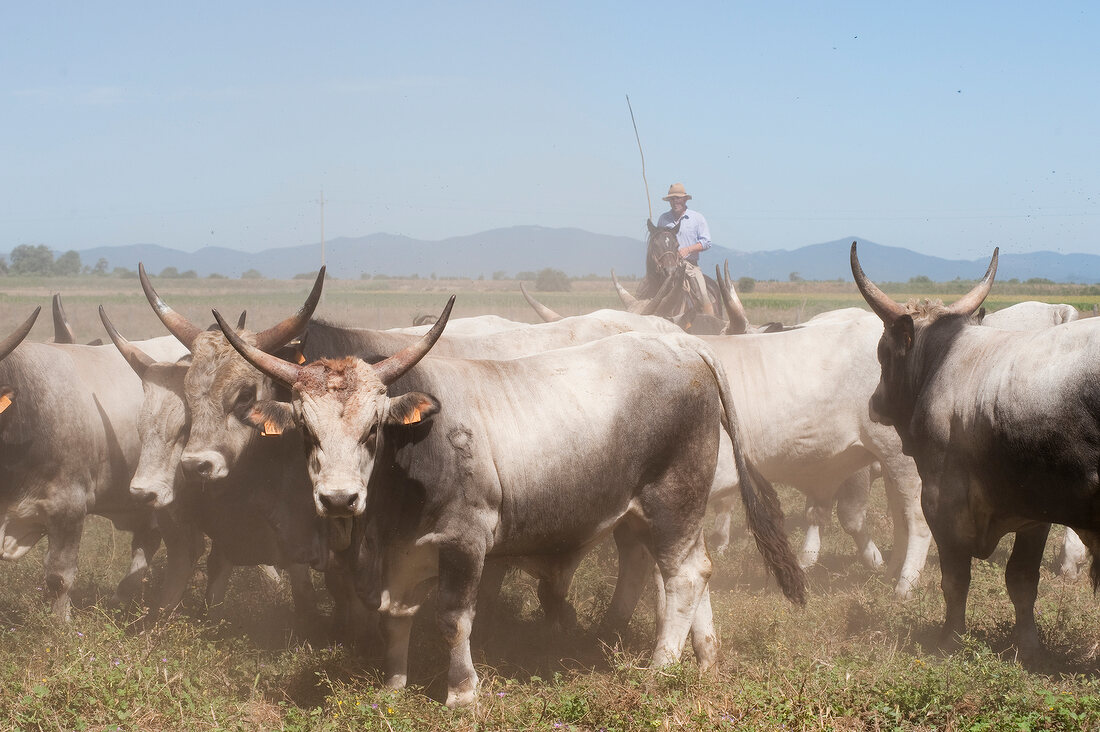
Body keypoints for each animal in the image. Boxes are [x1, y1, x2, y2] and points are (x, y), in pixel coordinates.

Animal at [212, 299, 809, 704]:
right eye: (307, 432)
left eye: (372, 429)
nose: (339, 498)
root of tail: (686, 346)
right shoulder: (400, 552)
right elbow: (395, 617)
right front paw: (393, 685)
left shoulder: (464, 542)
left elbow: (453, 618)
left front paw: (461, 692)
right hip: (667, 512)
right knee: (695, 569)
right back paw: (703, 662)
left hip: (672, 499)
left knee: (682, 576)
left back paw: (660, 669)